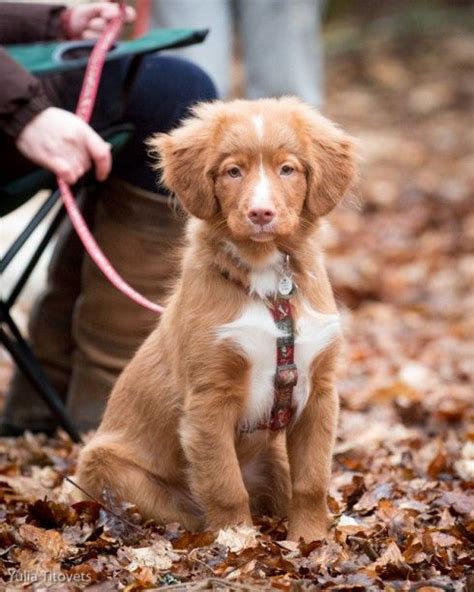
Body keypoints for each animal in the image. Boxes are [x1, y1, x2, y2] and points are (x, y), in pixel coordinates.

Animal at [75, 98, 356, 540]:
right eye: (233, 171)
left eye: (287, 169)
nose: (261, 213)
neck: (270, 286)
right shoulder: (208, 399)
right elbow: (225, 485)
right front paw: (238, 542)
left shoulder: (320, 393)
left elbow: (312, 480)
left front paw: (311, 540)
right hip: (109, 465)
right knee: (186, 510)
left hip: (272, 458)